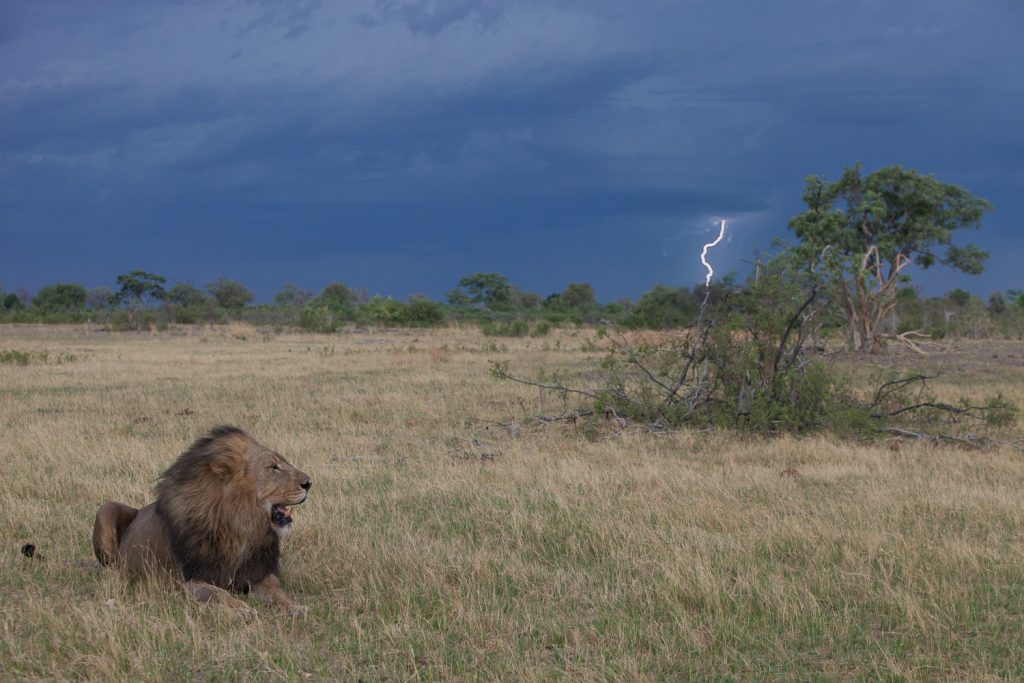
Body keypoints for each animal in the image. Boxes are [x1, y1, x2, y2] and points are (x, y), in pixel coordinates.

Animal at [92, 426, 312, 617]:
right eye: (273, 467)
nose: (309, 483)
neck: (239, 527)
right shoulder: (188, 581)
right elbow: (218, 593)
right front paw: (241, 609)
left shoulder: (256, 573)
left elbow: (277, 592)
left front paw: (295, 606)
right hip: (106, 509)